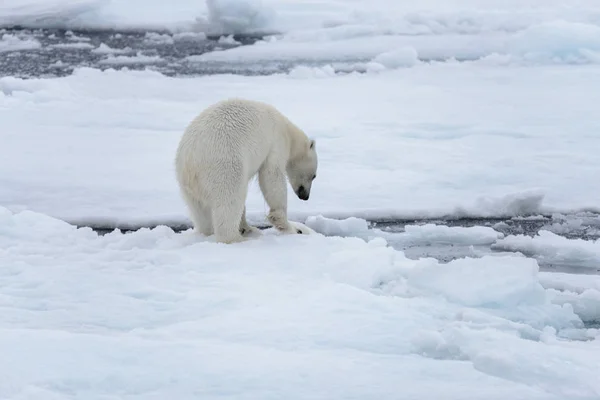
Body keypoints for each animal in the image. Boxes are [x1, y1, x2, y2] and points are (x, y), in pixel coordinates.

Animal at [175, 98, 318, 245]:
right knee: (230, 200)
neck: (287, 130)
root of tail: (190, 161)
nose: (305, 196)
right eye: (314, 176)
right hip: (224, 166)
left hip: (187, 186)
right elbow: (272, 176)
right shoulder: (276, 142)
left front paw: (245, 227)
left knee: (200, 211)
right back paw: (238, 238)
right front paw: (290, 226)